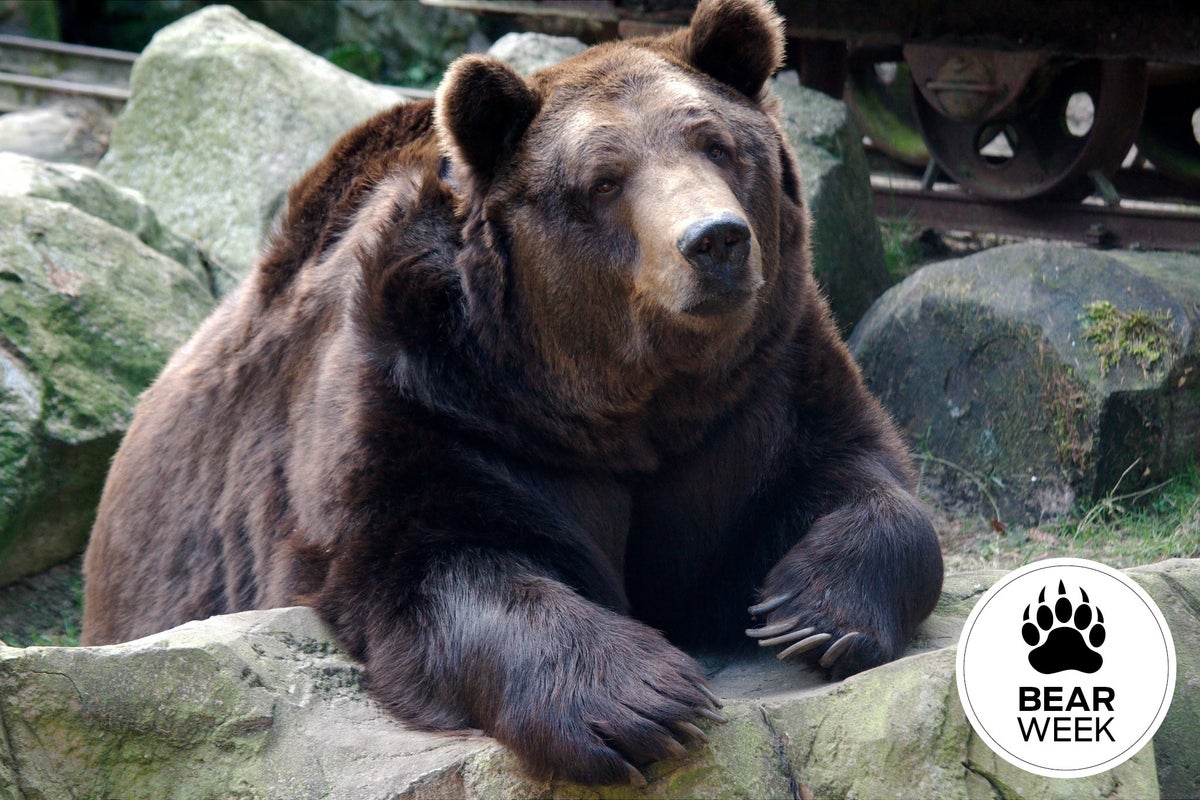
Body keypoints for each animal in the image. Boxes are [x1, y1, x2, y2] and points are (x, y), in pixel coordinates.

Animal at [82, 0, 944, 786]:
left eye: (718, 144)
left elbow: (861, 476)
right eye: (604, 179)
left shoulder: (760, 385)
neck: (619, 399)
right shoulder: (436, 402)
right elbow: (434, 560)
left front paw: (810, 611)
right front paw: (641, 702)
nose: (715, 240)